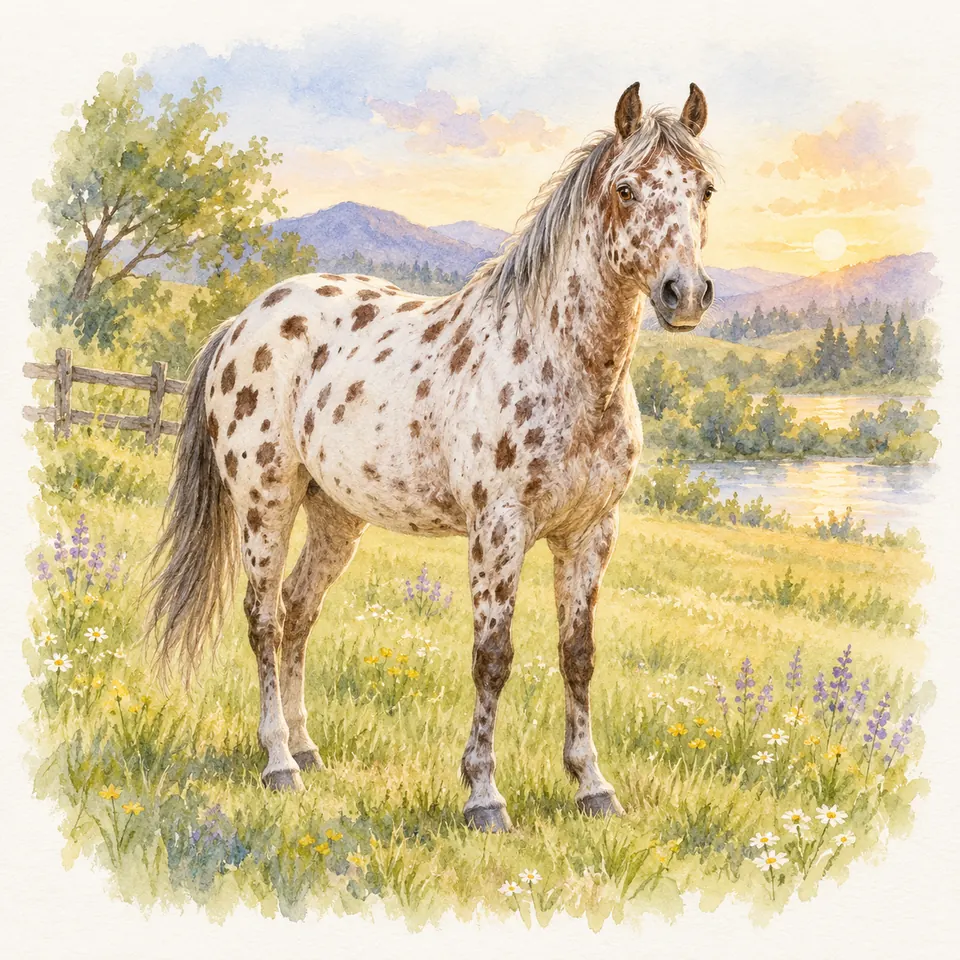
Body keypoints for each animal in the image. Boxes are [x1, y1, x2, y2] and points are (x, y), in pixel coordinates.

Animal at [147, 82, 718, 832]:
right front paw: (484, 796)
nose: (686, 295)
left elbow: (578, 656)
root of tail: (245, 319)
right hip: (265, 502)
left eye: (704, 189)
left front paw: (592, 786)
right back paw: (277, 763)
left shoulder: (590, 533)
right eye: (626, 189)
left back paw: (306, 751)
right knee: (265, 618)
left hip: (336, 515)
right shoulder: (498, 531)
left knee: (299, 610)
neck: (561, 366)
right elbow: (493, 658)